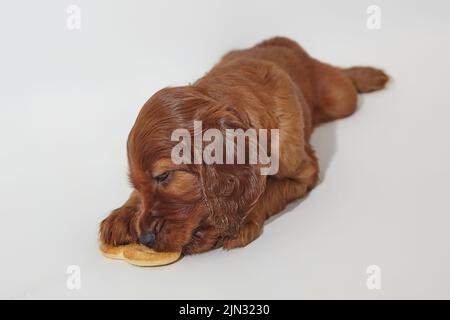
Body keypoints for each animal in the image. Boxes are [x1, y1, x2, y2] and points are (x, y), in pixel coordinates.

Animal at [100, 35, 388, 255]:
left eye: (164, 176)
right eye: (136, 185)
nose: (146, 240)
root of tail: (281, 40)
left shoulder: (302, 173)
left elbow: (267, 192)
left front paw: (230, 226)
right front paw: (122, 215)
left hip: (341, 99)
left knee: (341, 77)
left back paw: (367, 75)